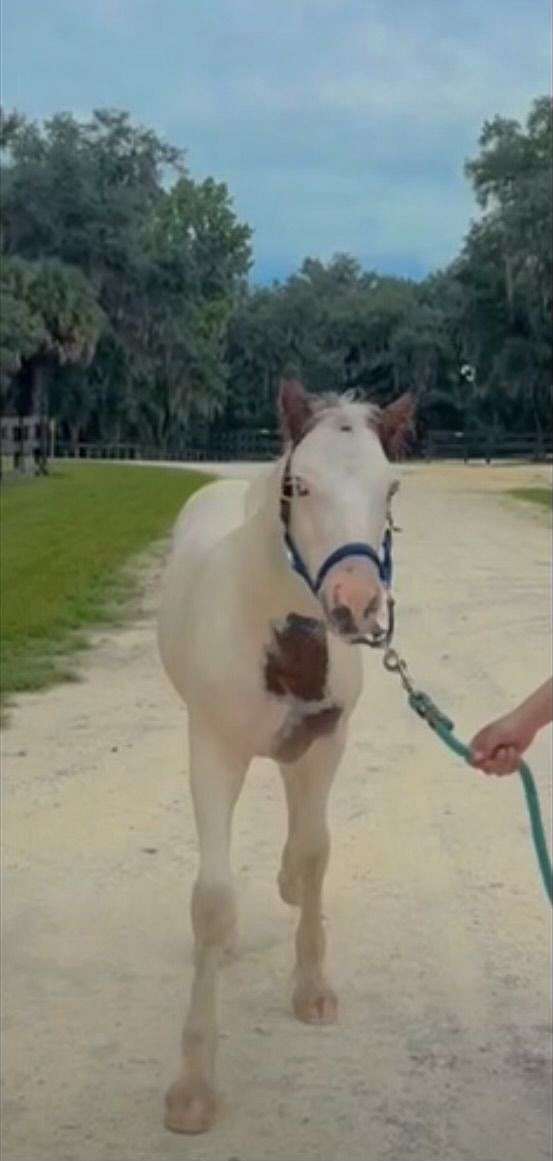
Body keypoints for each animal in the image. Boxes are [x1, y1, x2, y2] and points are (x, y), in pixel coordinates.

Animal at [158, 380, 413, 1133]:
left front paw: (312, 987)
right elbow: (212, 900)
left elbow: (314, 852)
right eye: (299, 484)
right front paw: (193, 1088)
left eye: (391, 487)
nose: (356, 605)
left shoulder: (326, 745)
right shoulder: (212, 749)